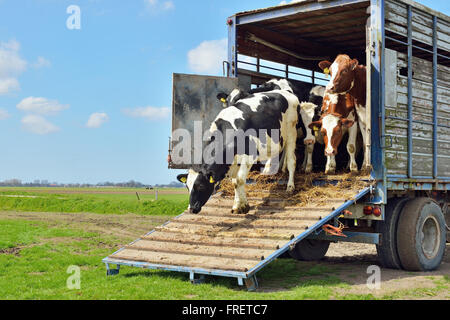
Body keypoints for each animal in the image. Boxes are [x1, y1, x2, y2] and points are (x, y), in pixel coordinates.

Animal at [178, 79, 300, 215]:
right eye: (187, 187)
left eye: (201, 186)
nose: (191, 208)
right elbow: (234, 182)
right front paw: (238, 204)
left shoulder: (249, 155)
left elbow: (239, 180)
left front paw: (242, 206)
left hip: (291, 132)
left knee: (291, 161)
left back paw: (290, 186)